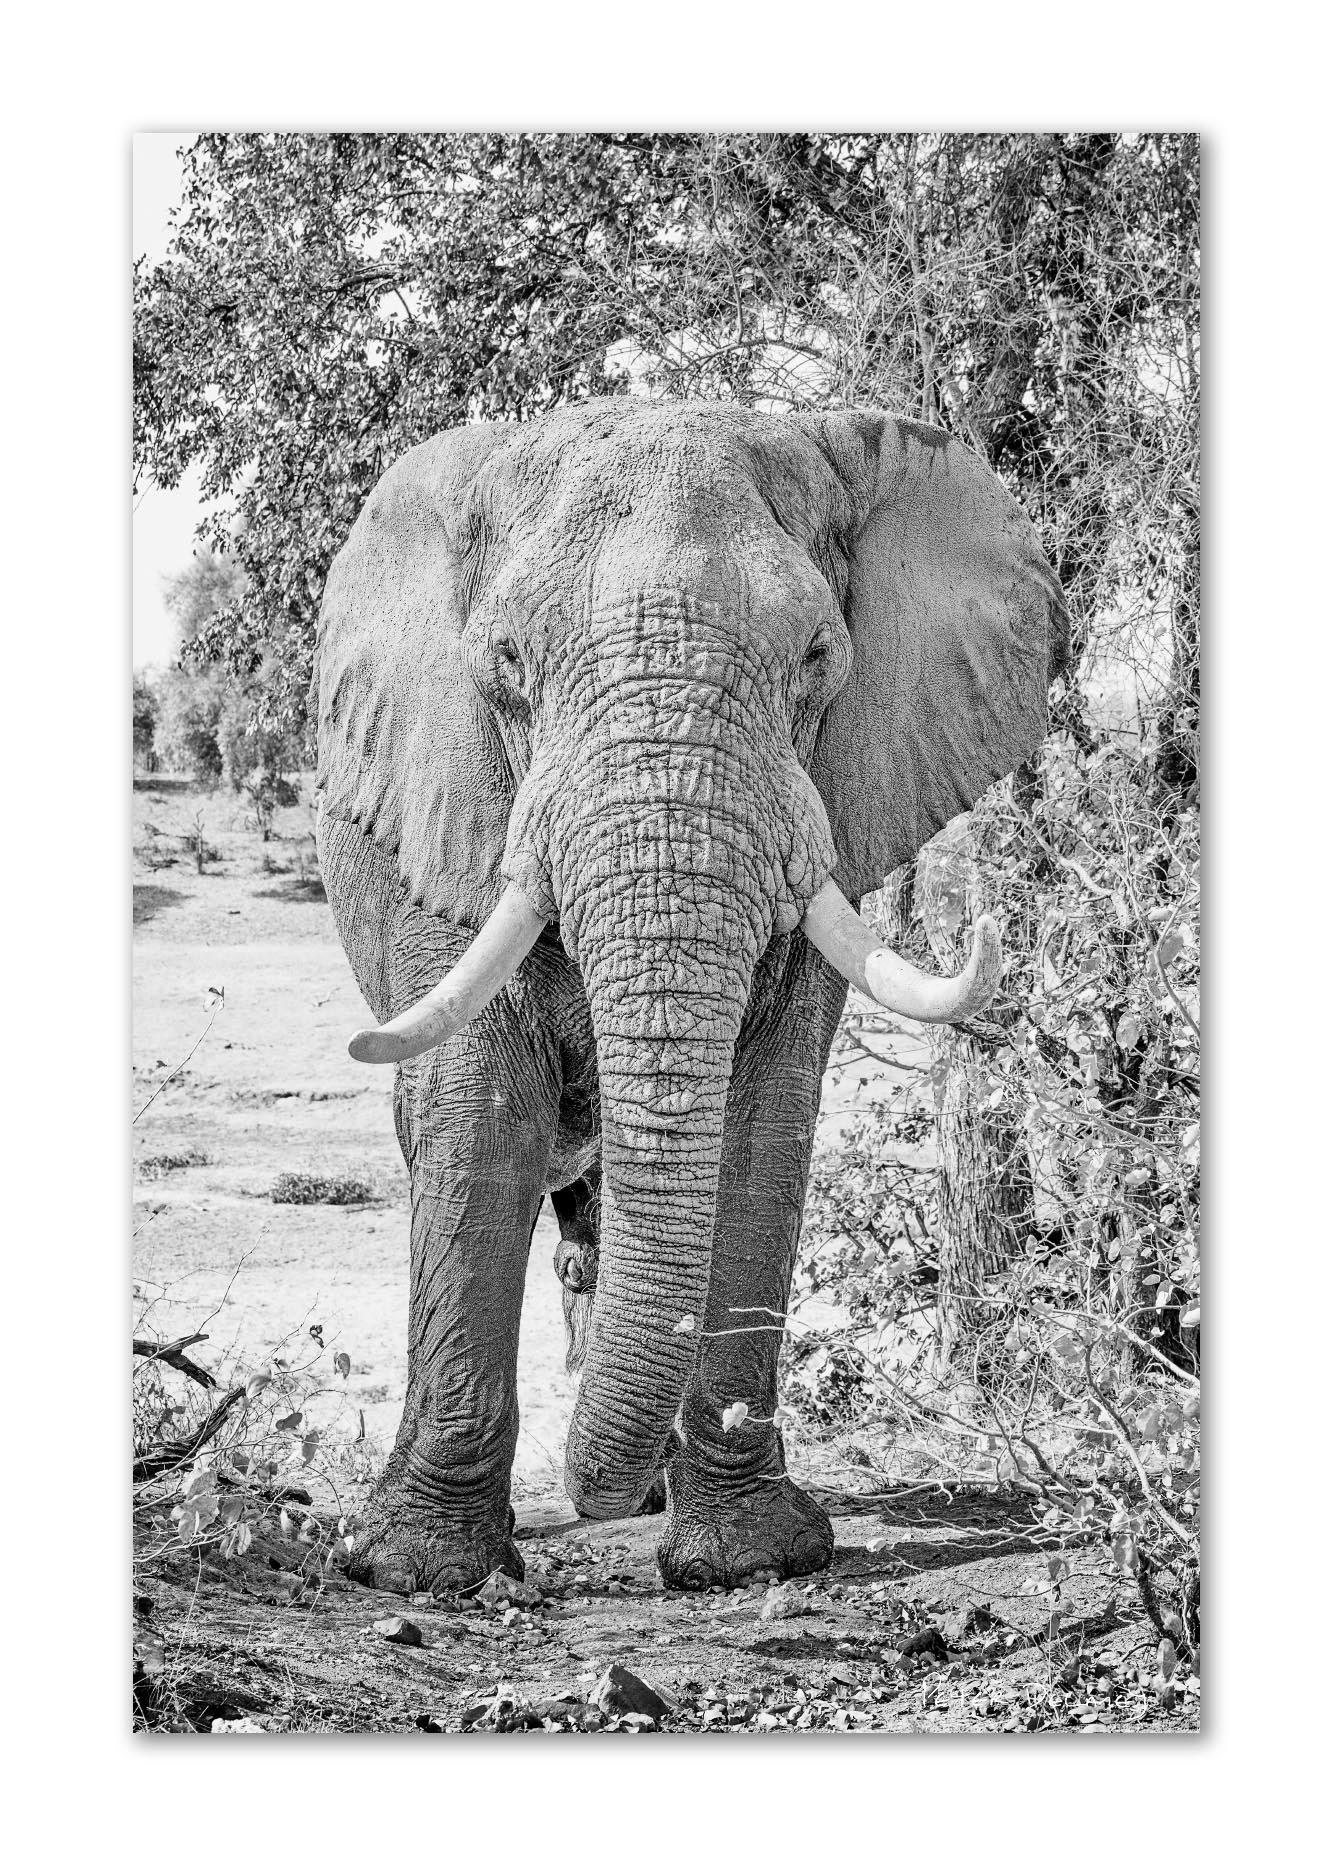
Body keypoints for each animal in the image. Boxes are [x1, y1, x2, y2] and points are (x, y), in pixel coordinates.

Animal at [313, 398, 1069, 1595]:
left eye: (817, 656)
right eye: (506, 662)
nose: (591, 1493)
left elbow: (761, 1122)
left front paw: (747, 1560)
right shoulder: (449, 818)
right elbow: (477, 1117)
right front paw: (416, 1572)